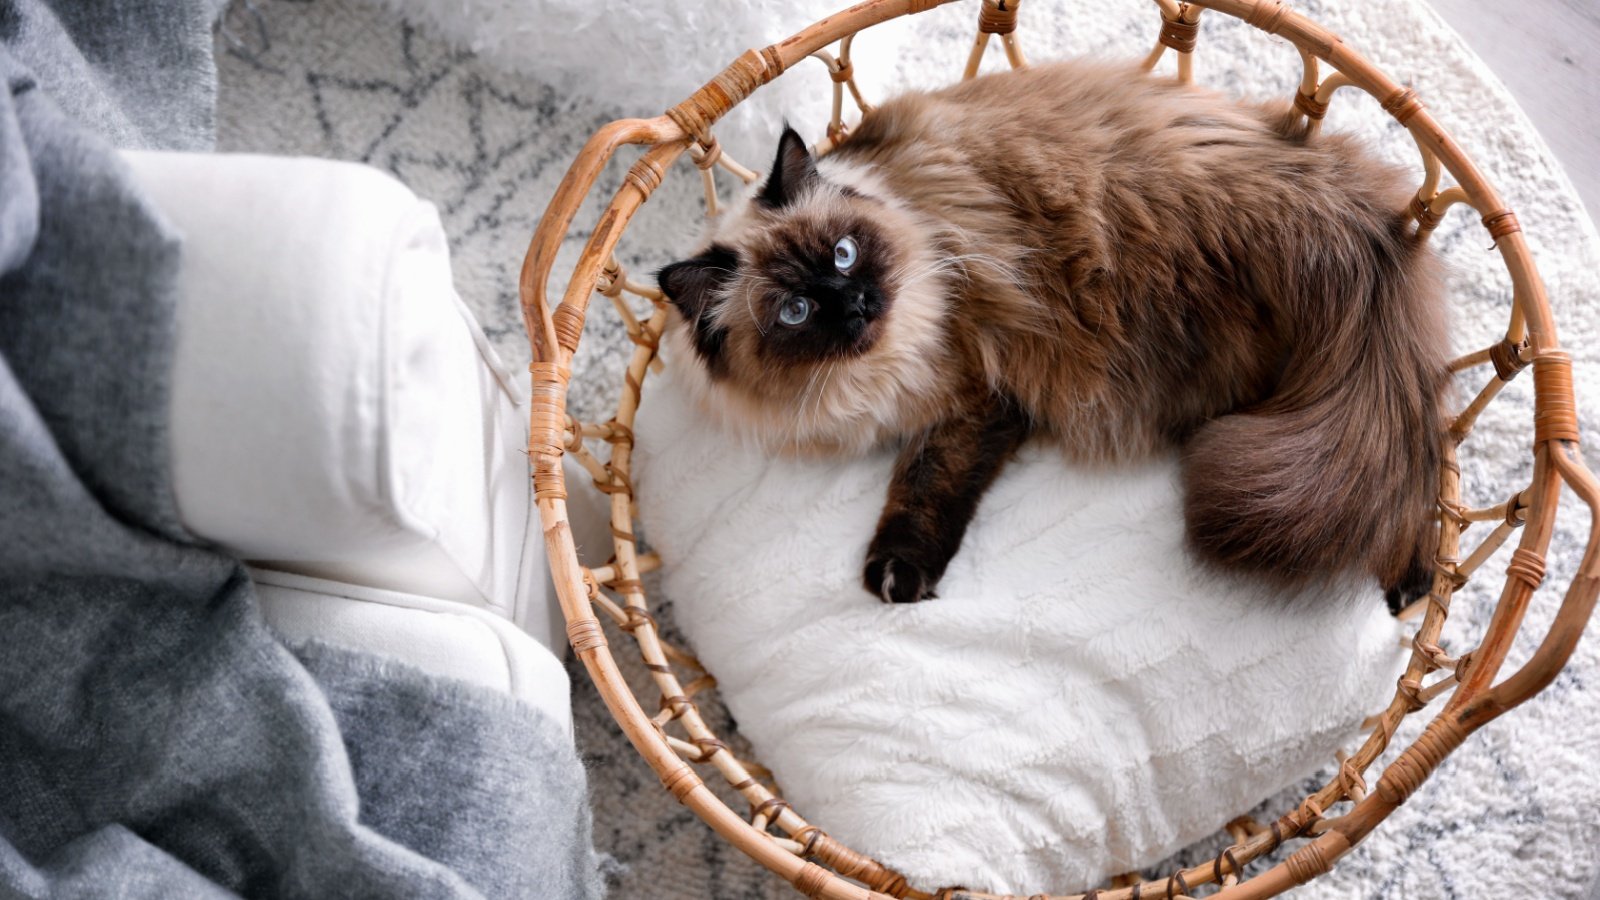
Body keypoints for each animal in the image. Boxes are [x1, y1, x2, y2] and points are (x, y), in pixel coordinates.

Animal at [656, 57, 1459, 608]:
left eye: (846, 253)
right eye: (795, 312)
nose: (855, 303)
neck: (869, 377)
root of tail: (1317, 197)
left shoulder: (974, 398)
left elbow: (924, 484)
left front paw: (896, 576)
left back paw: (1411, 585)